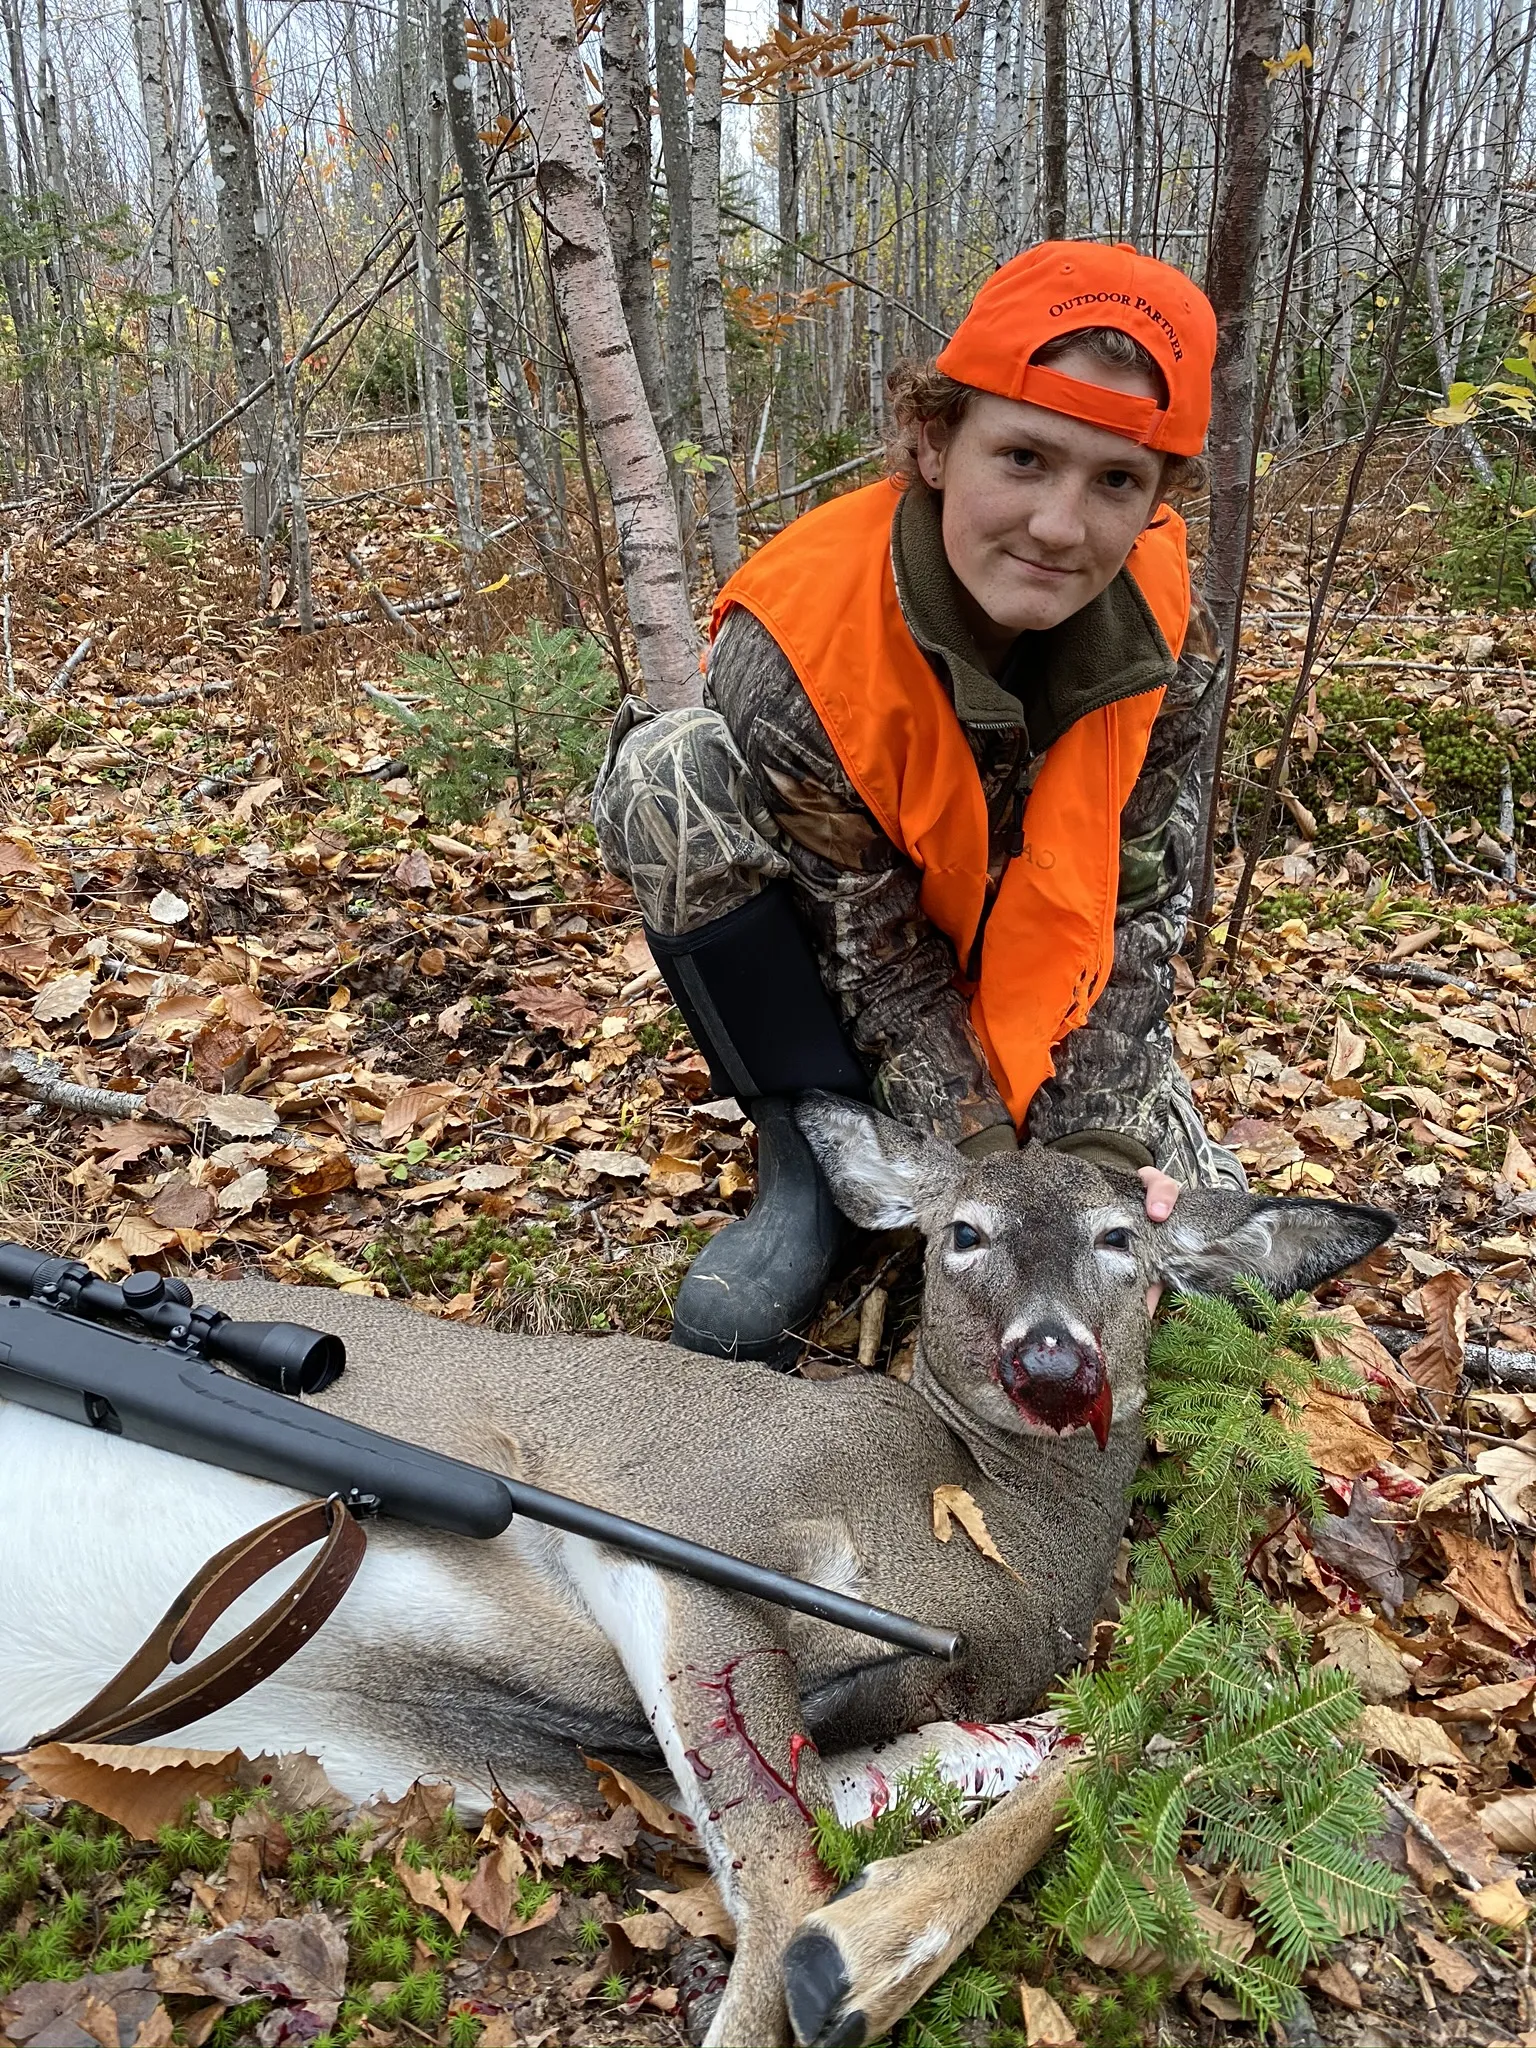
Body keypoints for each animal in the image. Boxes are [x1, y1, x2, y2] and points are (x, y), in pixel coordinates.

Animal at [0, 1095, 1393, 2048]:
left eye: (1119, 1239)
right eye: (963, 1232)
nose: (1051, 1359)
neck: (979, 1530)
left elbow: (1110, 1743)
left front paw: (871, 1949)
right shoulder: (677, 1506)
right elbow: (778, 1874)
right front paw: (835, 1970)